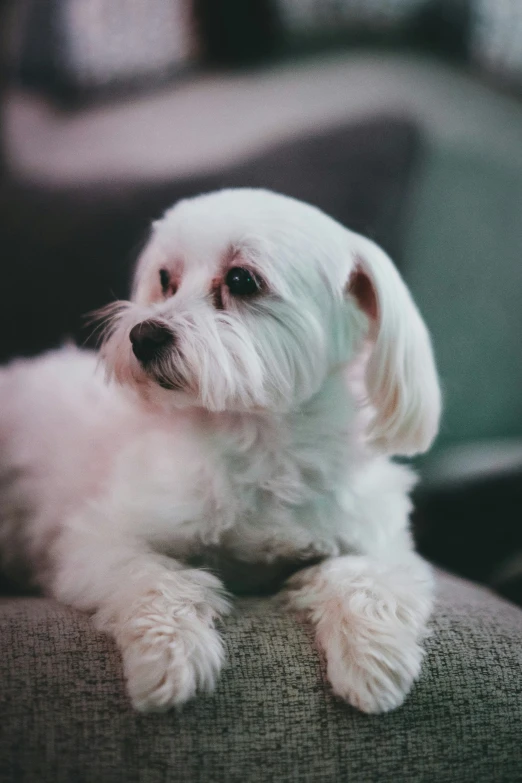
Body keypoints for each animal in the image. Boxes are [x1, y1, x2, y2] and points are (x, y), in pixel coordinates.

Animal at [0, 190, 438, 716]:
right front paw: (170, 657)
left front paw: (371, 658)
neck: (258, 439)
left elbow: (363, 577)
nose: (143, 335)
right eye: (165, 279)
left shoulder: (380, 542)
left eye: (241, 279)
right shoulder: (95, 543)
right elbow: (156, 577)